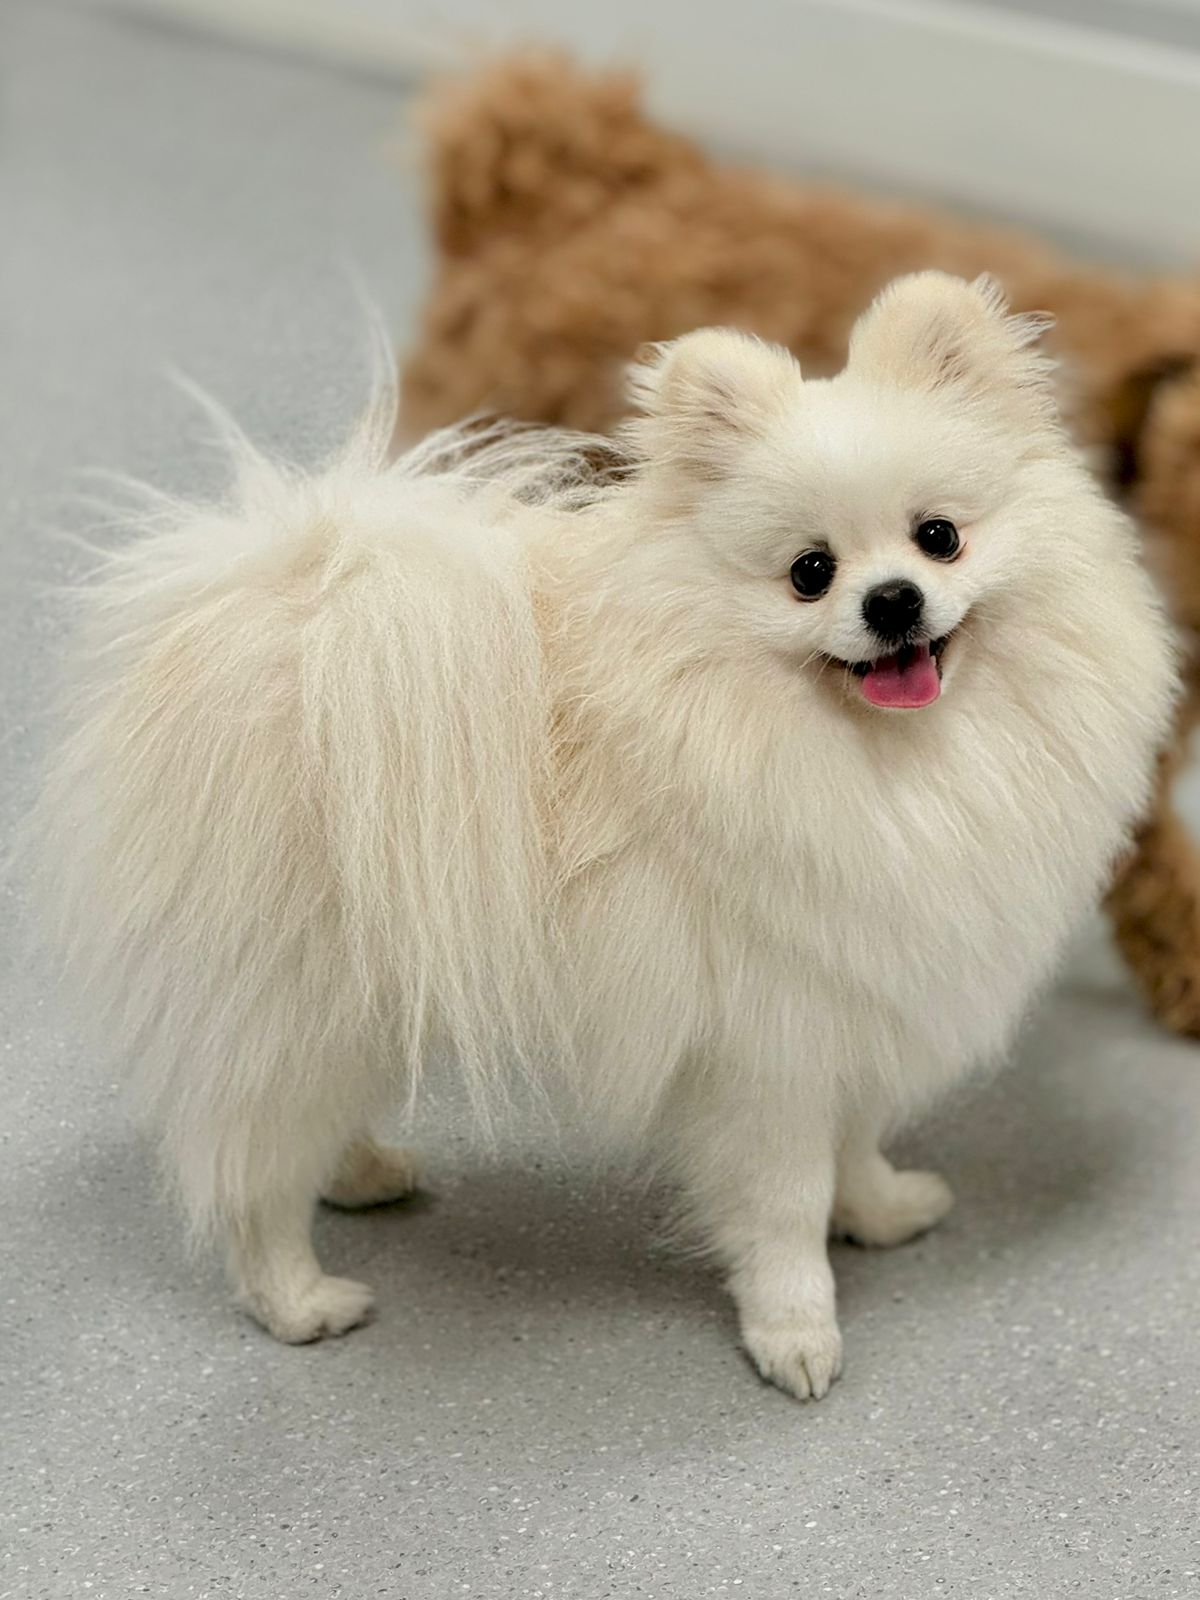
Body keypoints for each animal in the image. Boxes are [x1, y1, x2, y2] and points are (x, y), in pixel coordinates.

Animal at [40, 278, 1177, 1401]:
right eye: (809, 572)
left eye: (940, 536)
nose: (892, 599)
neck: (885, 762)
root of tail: (289, 618)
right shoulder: (768, 1047)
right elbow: (785, 1211)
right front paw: (796, 1335)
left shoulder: (857, 1005)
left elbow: (853, 1146)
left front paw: (882, 1210)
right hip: (296, 992)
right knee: (252, 1169)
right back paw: (299, 1299)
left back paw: (361, 1173)